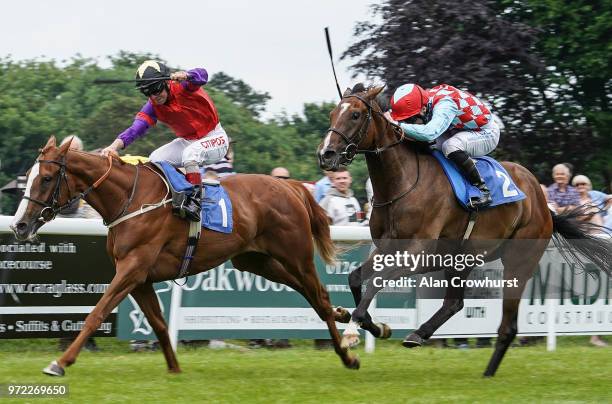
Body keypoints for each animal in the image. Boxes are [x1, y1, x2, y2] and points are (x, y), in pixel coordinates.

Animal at [10, 136, 358, 376]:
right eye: (27, 176)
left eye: (46, 178)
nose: (19, 225)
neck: (130, 199)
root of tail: (293, 188)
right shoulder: (140, 278)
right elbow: (159, 323)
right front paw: (175, 370)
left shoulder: (132, 268)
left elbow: (96, 314)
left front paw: (60, 362)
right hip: (257, 260)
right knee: (312, 296)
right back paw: (345, 317)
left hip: (296, 255)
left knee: (319, 293)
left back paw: (347, 354)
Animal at [316, 84, 612, 376]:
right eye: (332, 114)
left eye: (355, 115)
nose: (325, 154)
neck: (402, 182)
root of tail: (541, 201)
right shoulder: (388, 248)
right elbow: (356, 277)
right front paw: (372, 324)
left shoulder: (417, 253)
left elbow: (376, 282)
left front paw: (352, 331)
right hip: (462, 258)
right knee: (454, 304)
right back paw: (420, 335)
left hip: (519, 260)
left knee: (508, 325)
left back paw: (488, 373)